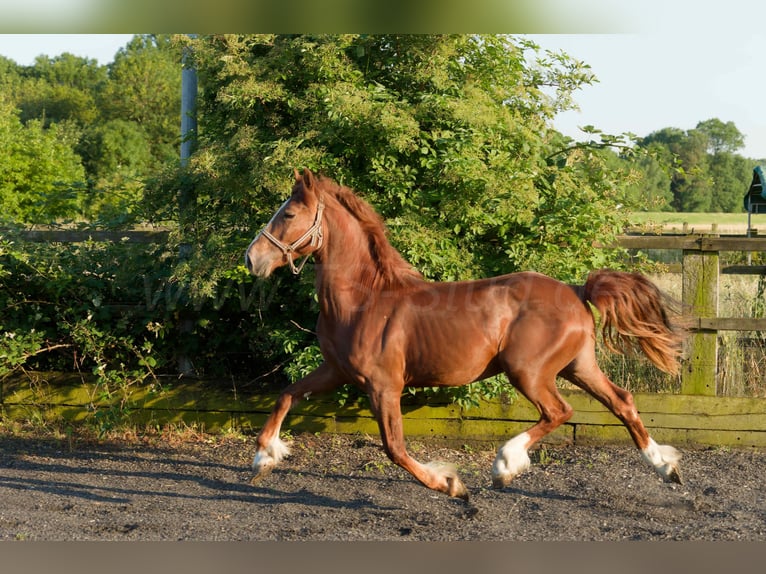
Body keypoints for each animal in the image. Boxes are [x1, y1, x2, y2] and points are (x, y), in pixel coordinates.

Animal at [244, 168, 685, 500]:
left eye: (289, 214)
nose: (252, 259)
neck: (364, 299)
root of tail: (577, 290)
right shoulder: (336, 371)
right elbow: (286, 395)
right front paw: (264, 457)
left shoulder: (384, 385)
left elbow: (395, 448)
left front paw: (452, 485)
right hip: (578, 366)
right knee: (622, 402)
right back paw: (665, 466)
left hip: (528, 371)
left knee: (559, 411)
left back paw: (505, 465)